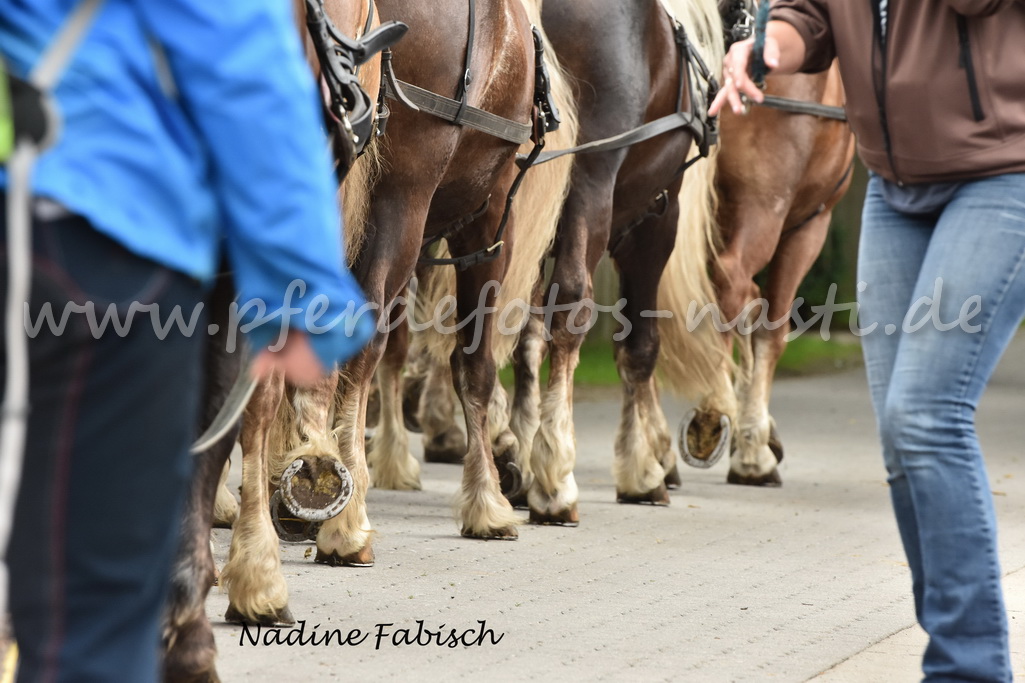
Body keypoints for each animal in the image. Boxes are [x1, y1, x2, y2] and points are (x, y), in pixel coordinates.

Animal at [656, 0, 856, 487]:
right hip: (765, 207)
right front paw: (753, 445)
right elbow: (771, 325)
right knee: (733, 285)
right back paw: (712, 418)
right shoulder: (807, 226)